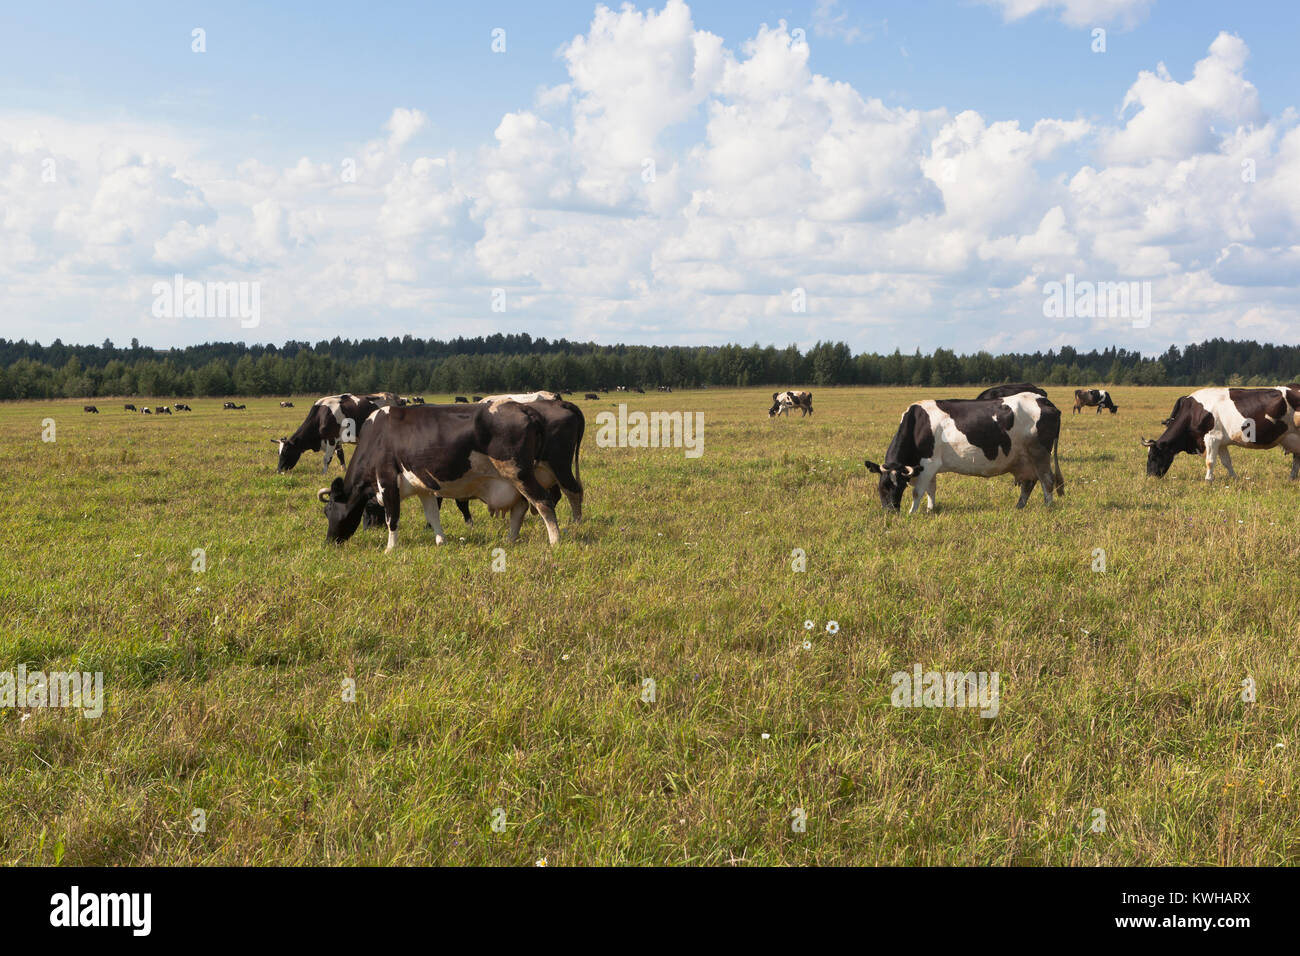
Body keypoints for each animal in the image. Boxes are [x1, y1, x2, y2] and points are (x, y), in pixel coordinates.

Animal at [317, 401, 563, 552]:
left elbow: (392, 517)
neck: (377, 435)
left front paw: (390, 548)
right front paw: (441, 540)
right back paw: (510, 540)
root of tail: (524, 408)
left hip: (519, 473)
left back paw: (555, 541)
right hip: (517, 479)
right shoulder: (423, 487)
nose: (328, 541)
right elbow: (432, 515)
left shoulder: (387, 481)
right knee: (521, 508)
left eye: (328, 510)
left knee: (543, 502)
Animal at [865, 393, 1064, 512]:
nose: (891, 511)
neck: (918, 424)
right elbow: (931, 489)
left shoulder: (928, 463)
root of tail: (1043, 399)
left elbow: (918, 491)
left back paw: (1048, 507)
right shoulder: (929, 467)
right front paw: (930, 510)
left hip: (1040, 453)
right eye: (882, 487)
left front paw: (911, 513)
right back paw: (1019, 507)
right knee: (1028, 483)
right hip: (1023, 460)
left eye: (899, 487)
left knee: (1047, 480)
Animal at [1142, 386, 1300, 481]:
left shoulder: (1212, 438)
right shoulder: (1221, 442)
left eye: (1153, 456)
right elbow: (1226, 462)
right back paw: (1291, 478)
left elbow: (1210, 461)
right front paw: (1234, 478)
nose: (1149, 477)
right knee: (1296, 459)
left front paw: (1208, 480)